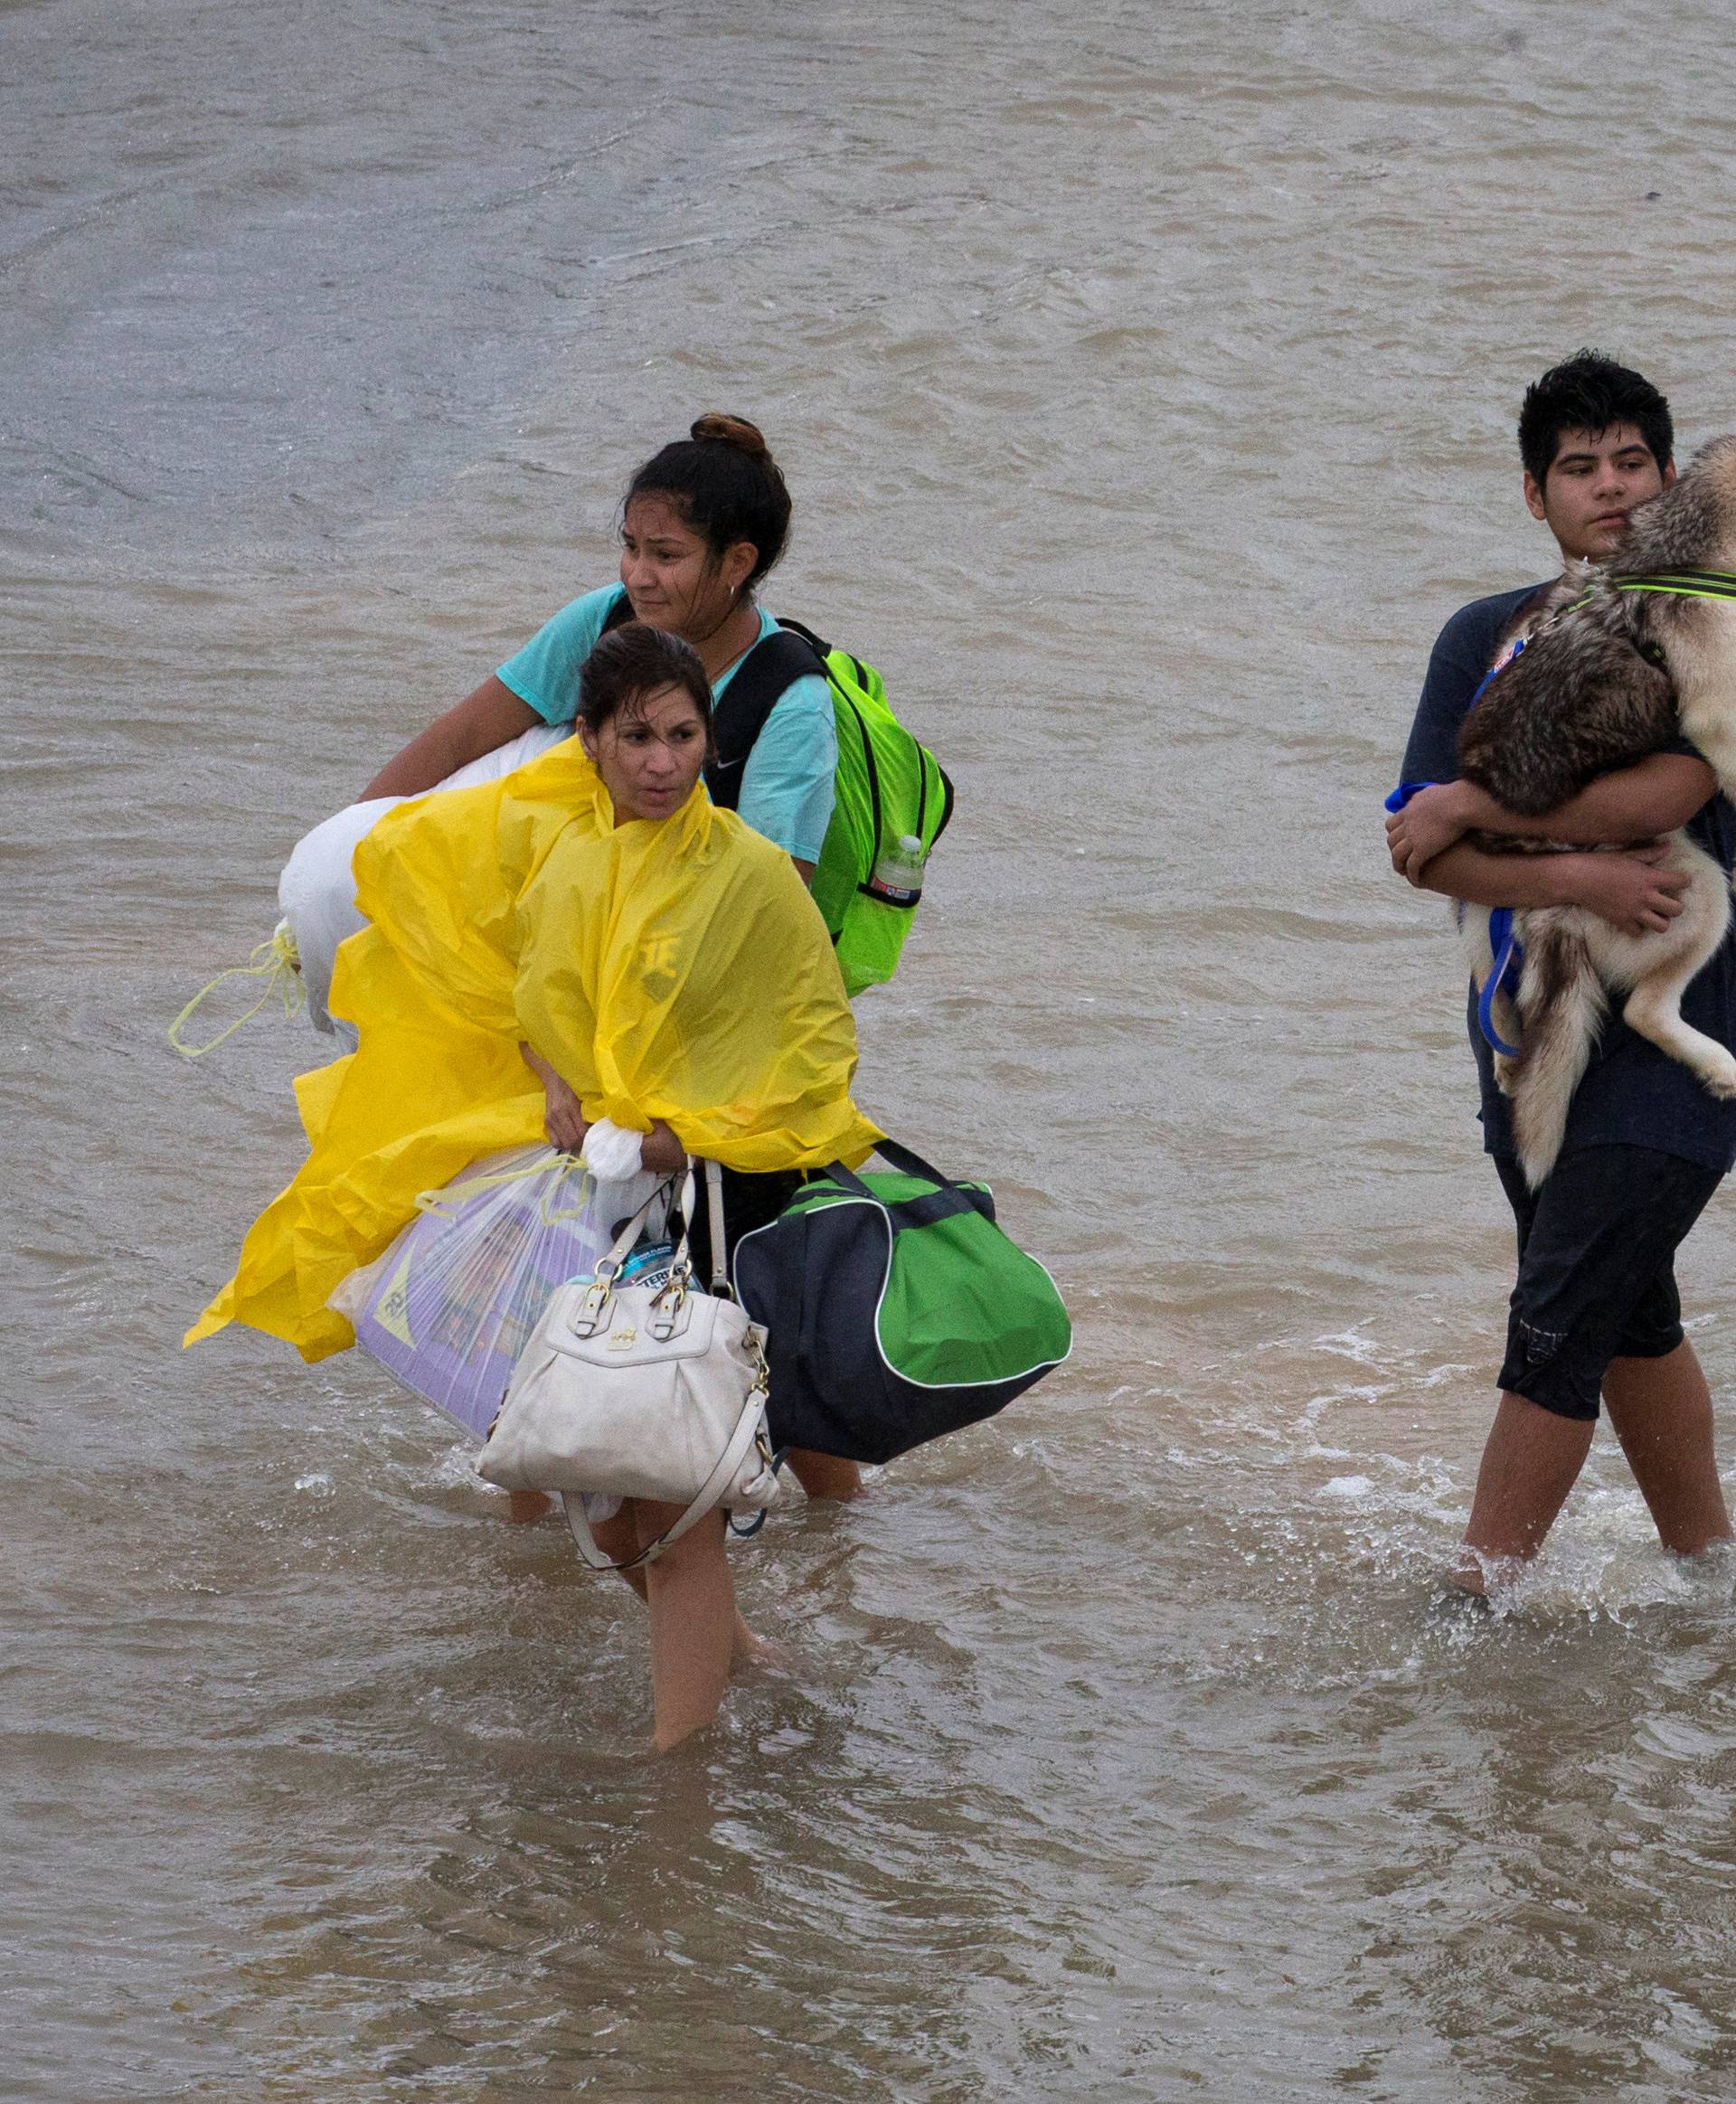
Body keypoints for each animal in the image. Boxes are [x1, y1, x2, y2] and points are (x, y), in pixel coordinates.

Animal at [1456, 431, 1733, 1186]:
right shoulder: (1717, 713)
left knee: (1490, 982)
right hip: (1702, 892)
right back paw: (1722, 1067)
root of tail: (1551, 918)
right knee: (1643, 1011)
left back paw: (1508, 1056)